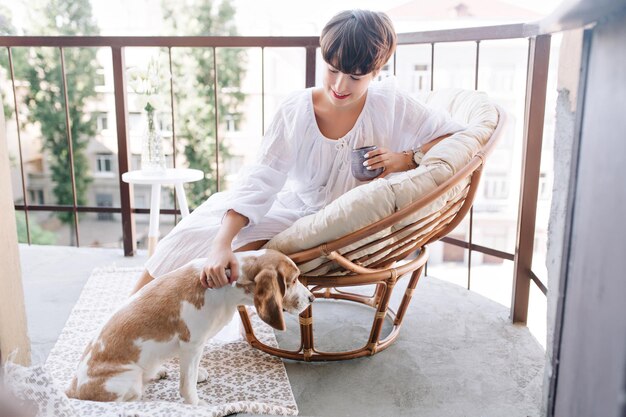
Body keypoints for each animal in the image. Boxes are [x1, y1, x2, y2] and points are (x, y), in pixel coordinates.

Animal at [66, 249, 314, 404]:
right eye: (293, 281)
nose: (311, 298)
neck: (226, 288)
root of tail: (72, 388)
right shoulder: (191, 345)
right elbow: (187, 385)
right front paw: (196, 404)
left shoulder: (195, 348)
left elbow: (192, 372)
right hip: (130, 380)